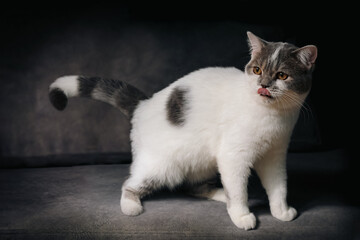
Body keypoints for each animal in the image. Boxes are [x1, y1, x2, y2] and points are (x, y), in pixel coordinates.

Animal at [49, 31, 316, 231]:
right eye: (257, 70)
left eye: (282, 75)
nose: (263, 85)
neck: (271, 116)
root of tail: (143, 106)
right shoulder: (233, 156)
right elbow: (239, 190)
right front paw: (241, 216)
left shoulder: (275, 155)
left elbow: (278, 186)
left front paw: (281, 211)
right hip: (160, 166)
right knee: (130, 183)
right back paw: (131, 206)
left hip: (204, 161)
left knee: (193, 186)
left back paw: (222, 194)